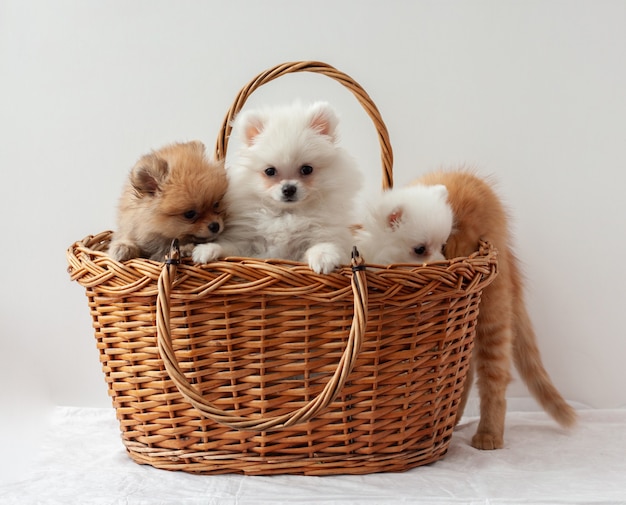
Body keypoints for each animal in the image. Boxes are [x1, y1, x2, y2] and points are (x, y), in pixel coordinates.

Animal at [194, 99, 360, 272]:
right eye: (270, 171)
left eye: (307, 169)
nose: (289, 189)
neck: (286, 214)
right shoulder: (246, 244)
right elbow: (230, 247)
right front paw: (207, 249)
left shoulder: (326, 234)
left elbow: (324, 244)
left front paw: (323, 257)